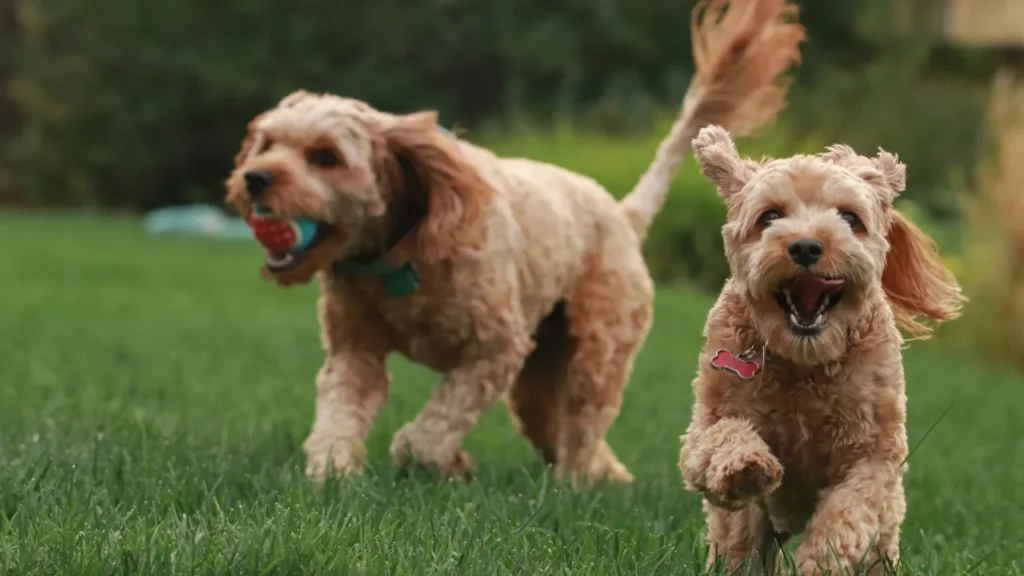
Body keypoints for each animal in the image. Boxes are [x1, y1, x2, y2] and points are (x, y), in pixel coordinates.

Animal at [224, 0, 806, 483]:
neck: (399, 256)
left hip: (597, 348)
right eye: (267, 142)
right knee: (557, 423)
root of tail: (621, 213)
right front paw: (332, 471)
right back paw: (605, 475)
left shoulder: (494, 348)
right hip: (539, 373)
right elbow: (341, 410)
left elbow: (431, 430)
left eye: (326, 156)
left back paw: (576, 483)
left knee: (584, 418)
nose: (254, 179)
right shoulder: (355, 350)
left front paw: (438, 458)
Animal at [679, 124, 966, 569]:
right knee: (738, 543)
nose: (806, 246)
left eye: (850, 218)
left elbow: (846, 517)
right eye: (770, 216)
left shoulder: (873, 456)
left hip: (885, 534)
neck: (804, 361)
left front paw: (819, 563)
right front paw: (747, 466)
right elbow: (720, 438)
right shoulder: (707, 422)